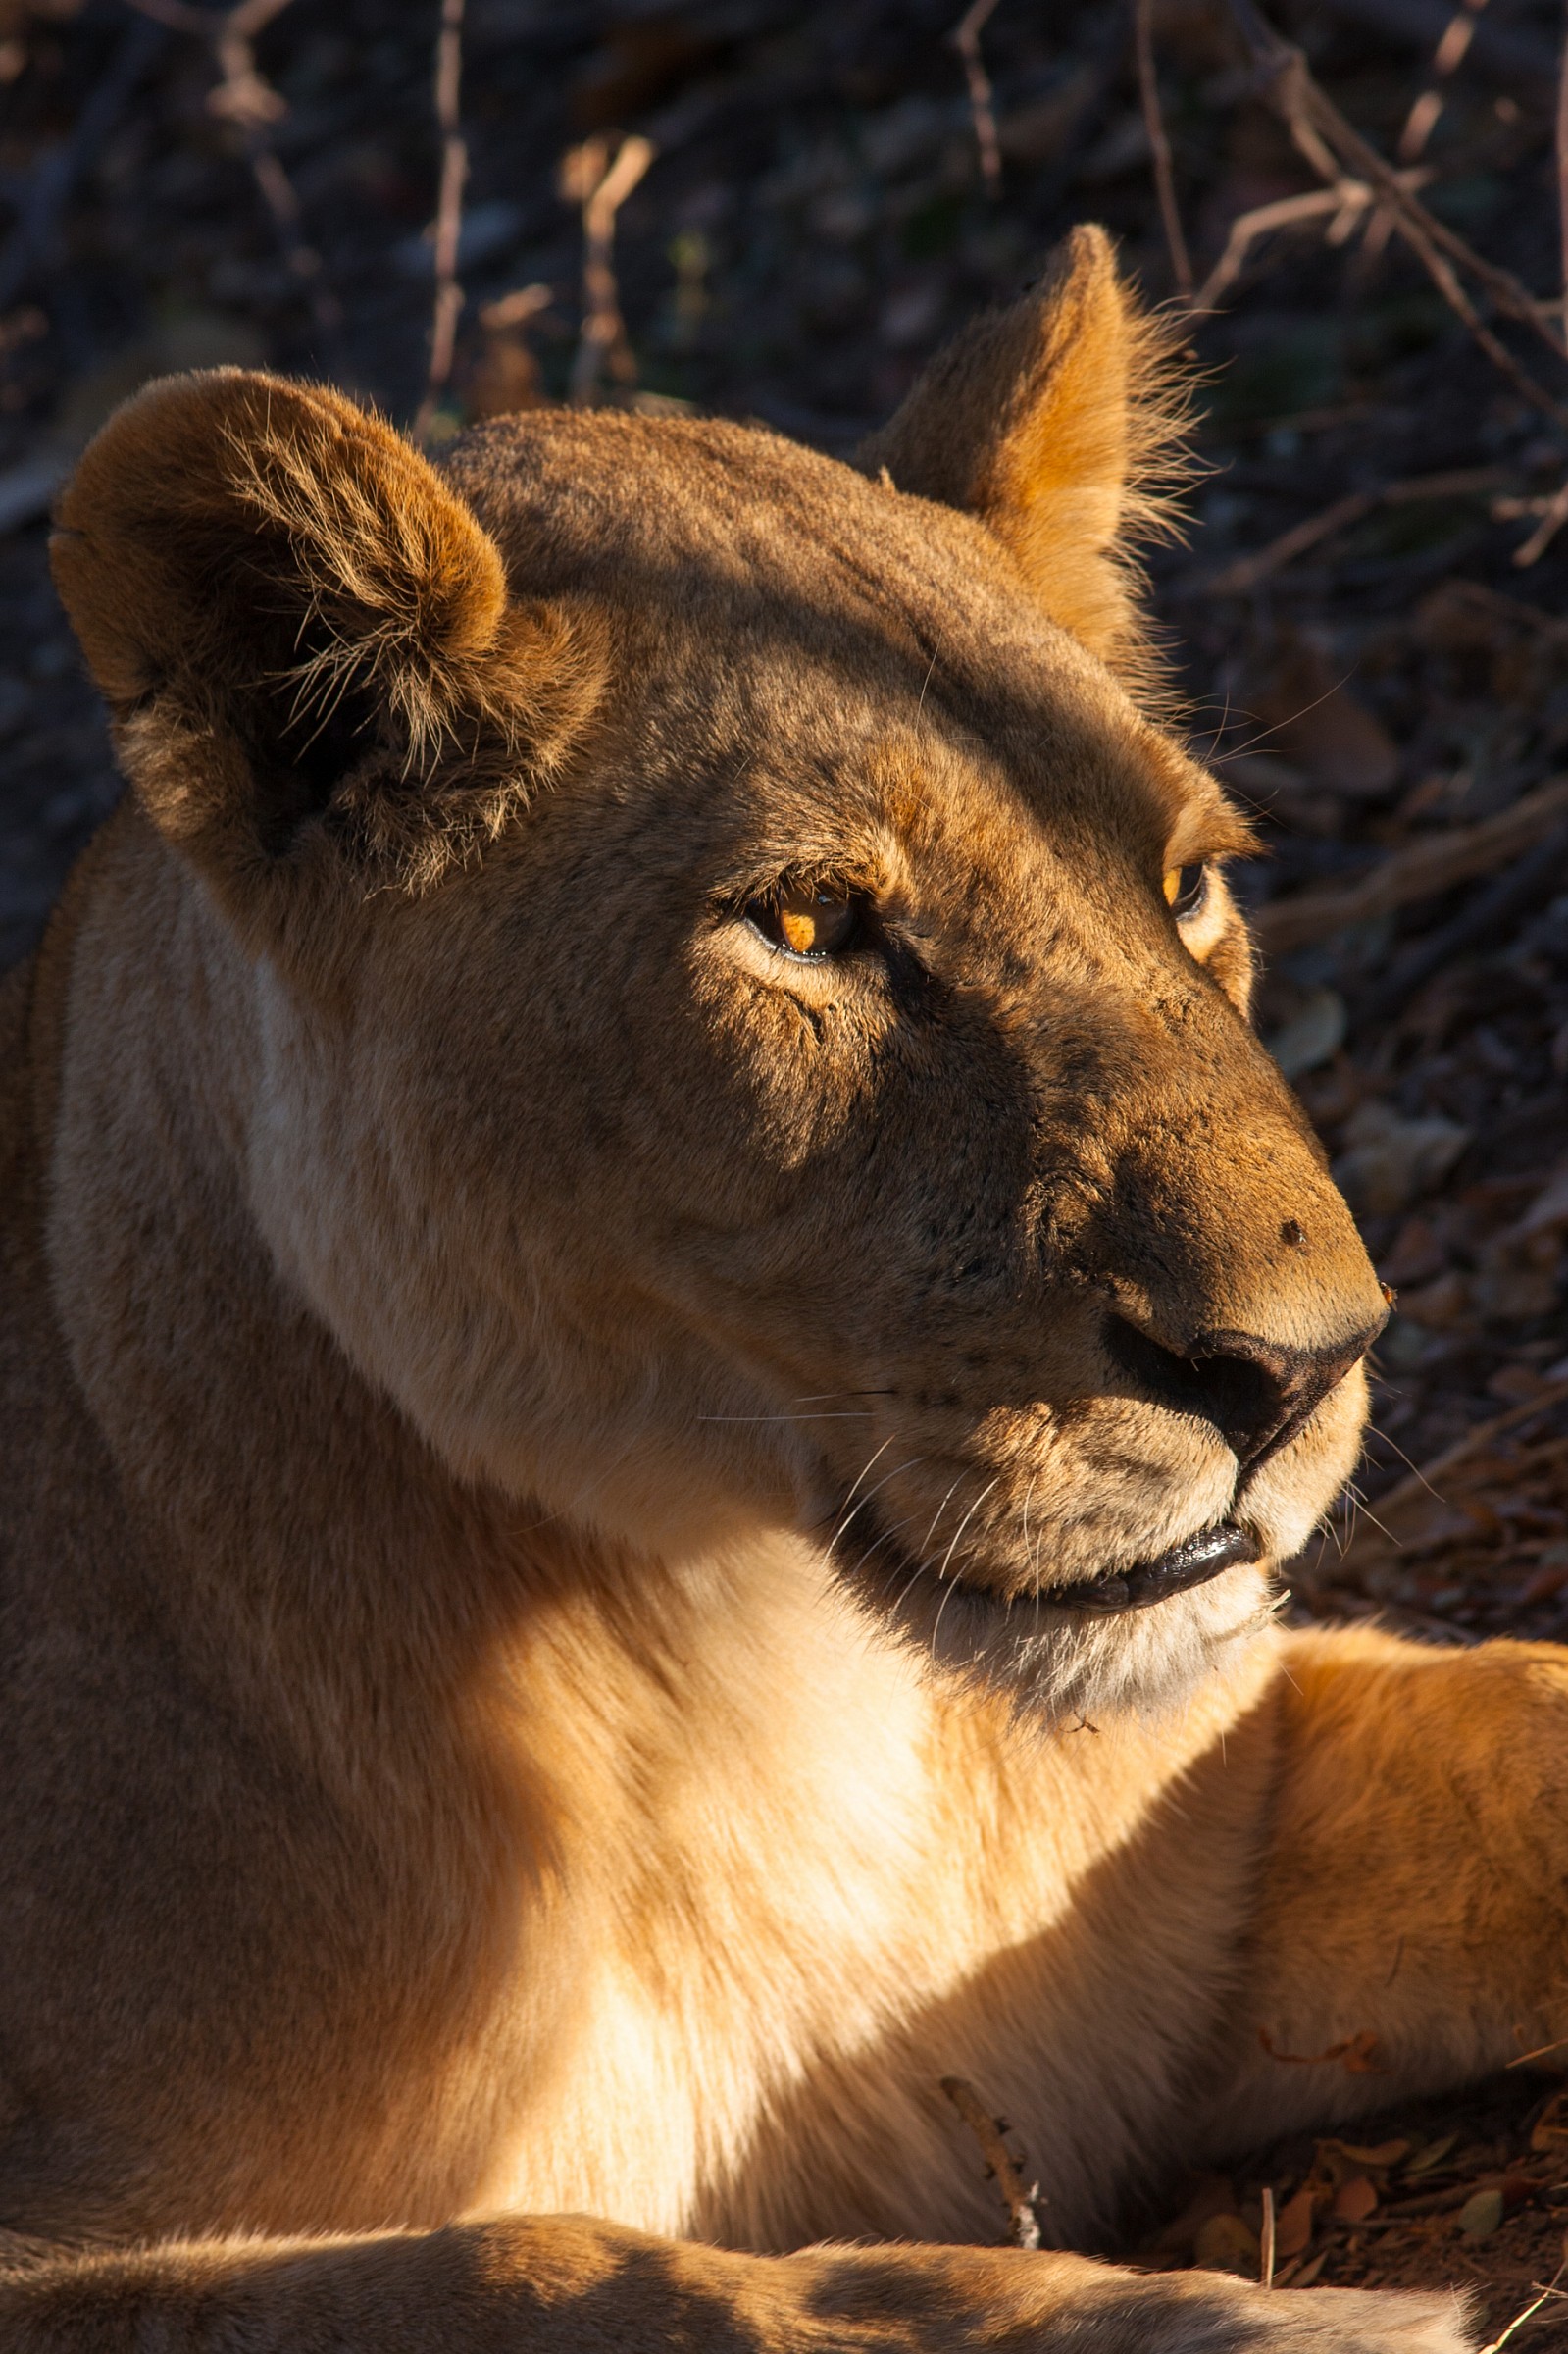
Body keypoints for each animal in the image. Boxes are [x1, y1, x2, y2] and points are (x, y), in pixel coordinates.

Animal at [0, 224, 1562, 2352]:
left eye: (1183, 887)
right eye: (809, 926)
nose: (1297, 1371)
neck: (739, 1669)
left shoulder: (1220, 1828)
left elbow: (1530, 1736)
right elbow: (575, 2274)